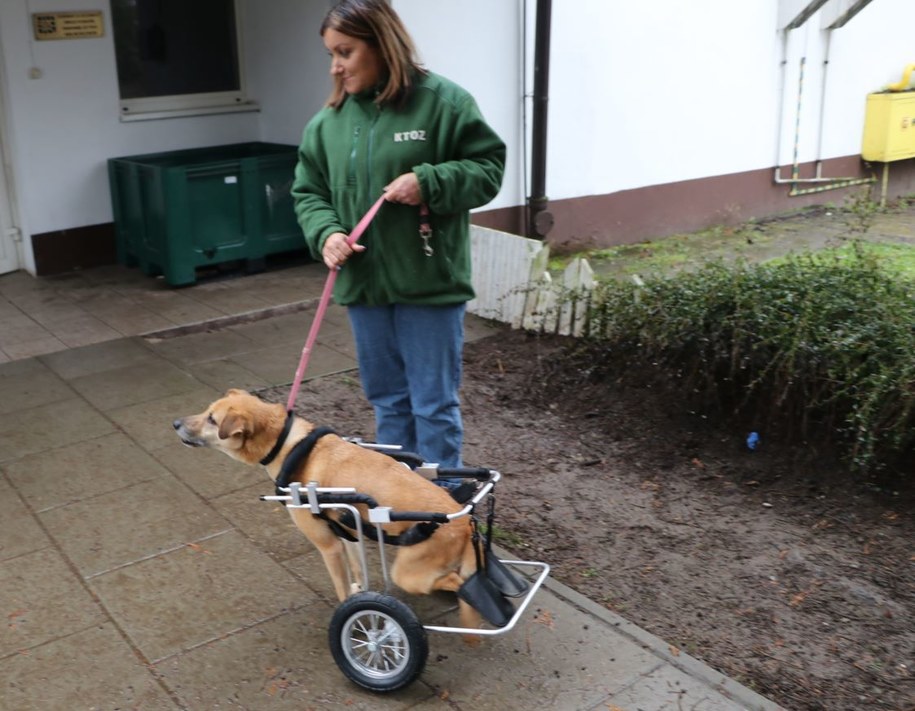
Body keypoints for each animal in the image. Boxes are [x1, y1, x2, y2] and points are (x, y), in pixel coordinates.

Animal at [174, 390, 484, 636]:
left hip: (407, 573)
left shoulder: (328, 546)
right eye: (206, 411)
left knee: (458, 582)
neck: (288, 445)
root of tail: (465, 522)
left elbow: (342, 591)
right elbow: (357, 569)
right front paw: (361, 591)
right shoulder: (349, 534)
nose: (175, 423)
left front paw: (354, 621)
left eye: (212, 420)